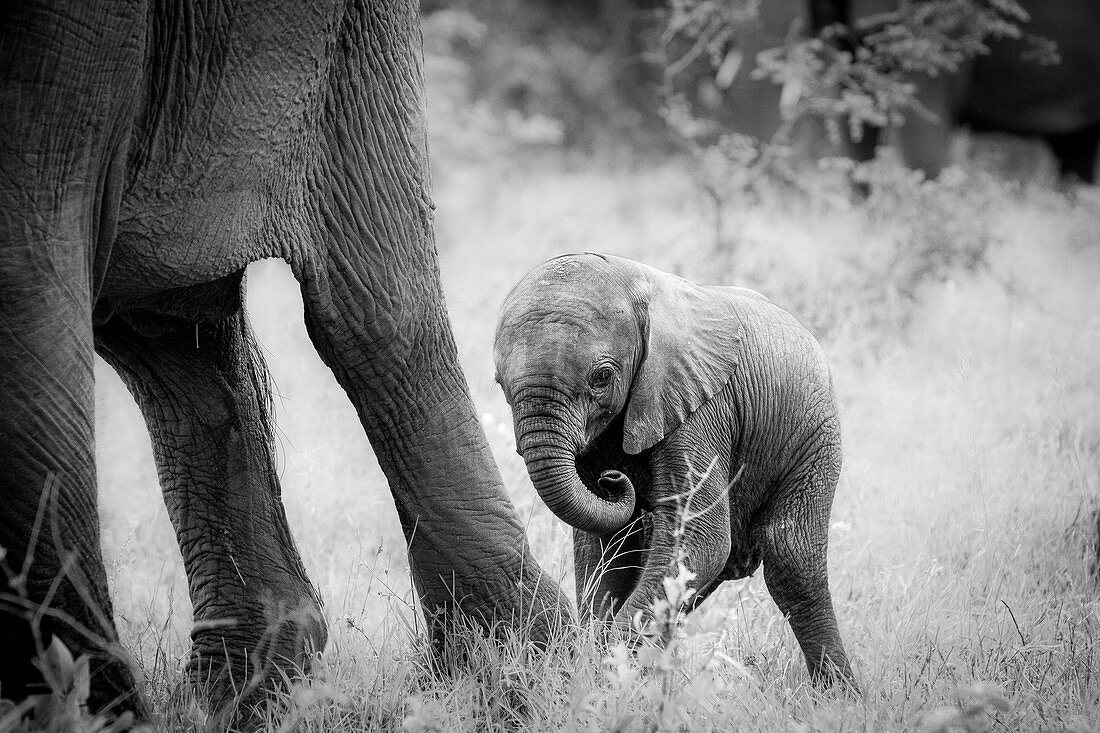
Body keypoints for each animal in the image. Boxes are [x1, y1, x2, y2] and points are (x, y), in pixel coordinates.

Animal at [0, 0, 567, 717]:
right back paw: (245, 686)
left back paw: (513, 674)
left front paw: (93, 715)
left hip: (350, 43)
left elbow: (24, 276)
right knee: (169, 329)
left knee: (374, 309)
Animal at [492, 250, 858, 686]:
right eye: (498, 383)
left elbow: (701, 539)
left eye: (602, 376)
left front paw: (609, 670)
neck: (635, 281)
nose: (612, 480)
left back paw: (839, 695)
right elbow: (608, 546)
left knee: (791, 561)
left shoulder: (700, 404)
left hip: (815, 438)